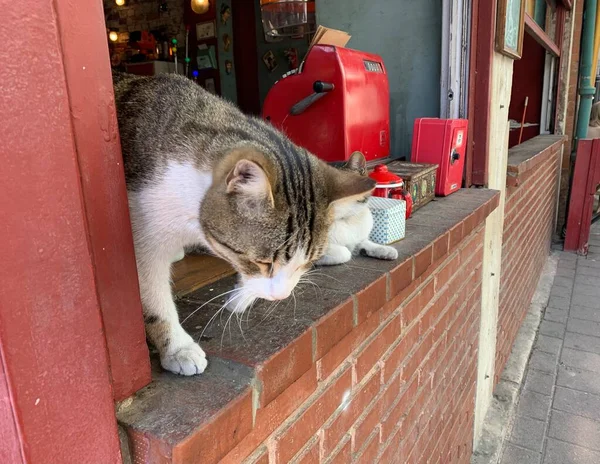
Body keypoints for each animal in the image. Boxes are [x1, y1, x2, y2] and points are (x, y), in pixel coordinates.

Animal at [113, 73, 376, 376]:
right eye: (261, 262)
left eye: (307, 263)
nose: (280, 298)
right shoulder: (142, 237)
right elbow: (154, 298)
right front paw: (177, 347)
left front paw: (242, 297)